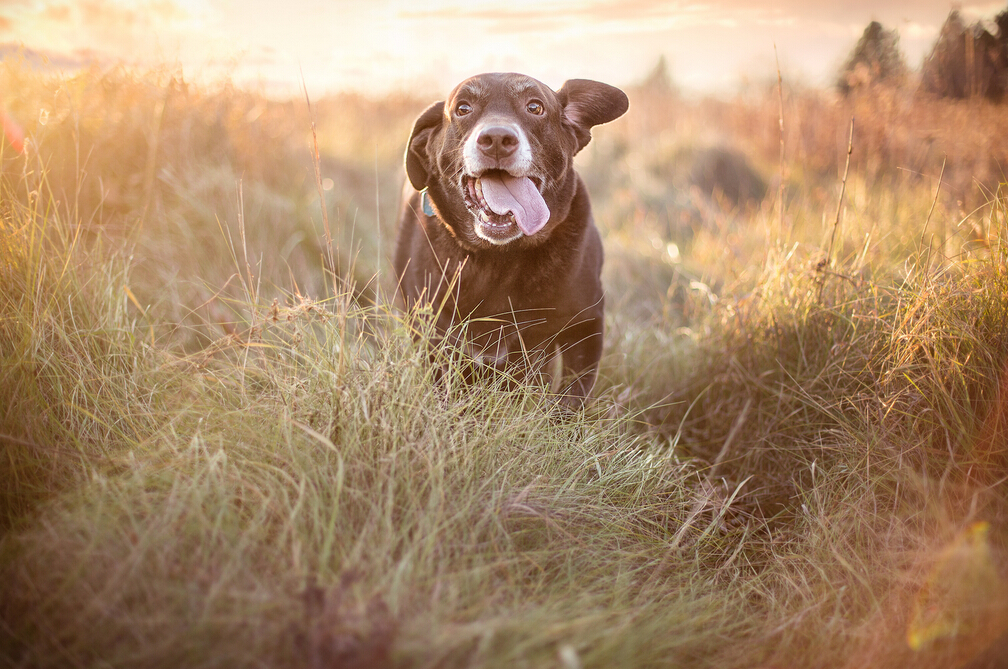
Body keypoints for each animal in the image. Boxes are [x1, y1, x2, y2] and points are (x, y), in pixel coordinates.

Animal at [395, 73, 624, 407]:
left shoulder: (585, 325)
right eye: (463, 108)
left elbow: (570, 399)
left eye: (535, 107)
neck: (500, 257)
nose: (497, 139)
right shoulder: (434, 334)